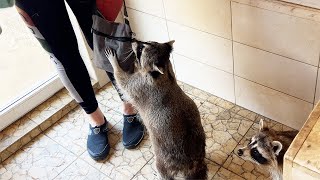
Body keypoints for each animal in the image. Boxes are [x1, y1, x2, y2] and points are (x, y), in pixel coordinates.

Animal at [105, 40, 208, 179]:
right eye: (146, 42)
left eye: (141, 49)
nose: (133, 40)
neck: (164, 75)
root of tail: (193, 161)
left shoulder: (140, 86)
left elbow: (122, 81)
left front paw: (114, 64)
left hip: (165, 157)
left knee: (162, 169)